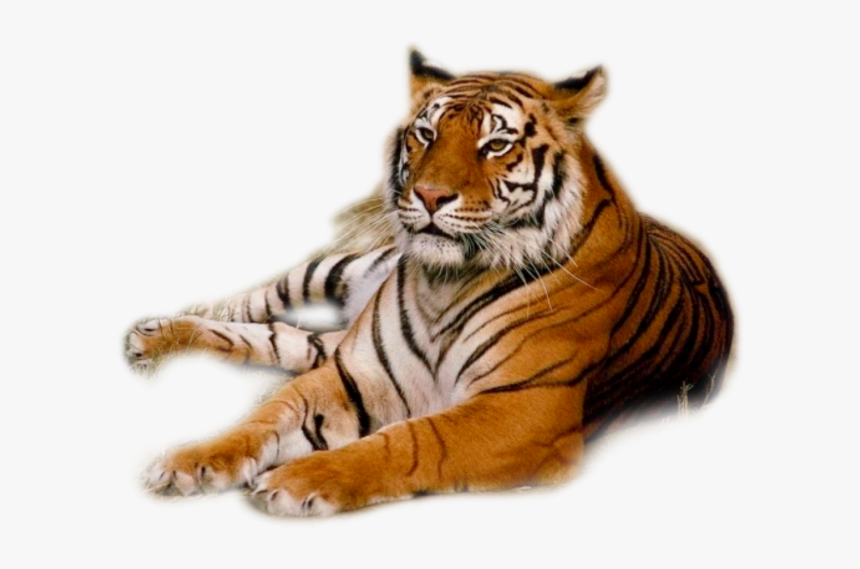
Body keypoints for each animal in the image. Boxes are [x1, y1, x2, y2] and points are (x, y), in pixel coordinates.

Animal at [125, 50, 733, 516]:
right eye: (425, 134)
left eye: (496, 144)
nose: (430, 196)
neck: (446, 282)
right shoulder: (353, 373)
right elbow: (265, 417)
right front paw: (191, 461)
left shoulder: (524, 410)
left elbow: (409, 440)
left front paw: (297, 481)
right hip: (337, 272)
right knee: (255, 307)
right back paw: (154, 334)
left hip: (332, 338)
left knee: (279, 338)